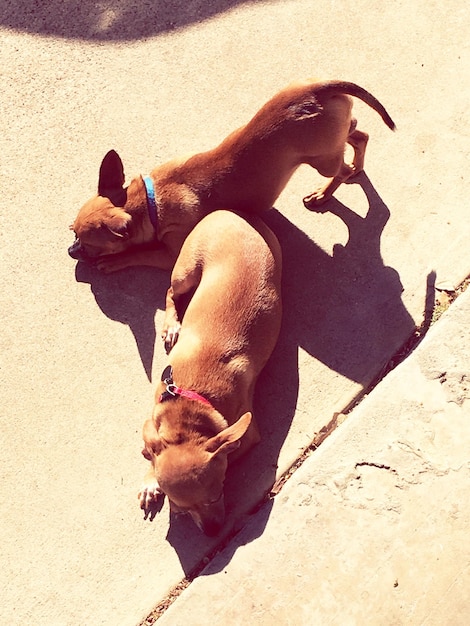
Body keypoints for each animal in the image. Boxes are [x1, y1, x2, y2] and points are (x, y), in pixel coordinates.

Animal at [68, 79, 394, 272]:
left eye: (90, 245)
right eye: (73, 233)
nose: (72, 250)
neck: (152, 199)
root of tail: (317, 88)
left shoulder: (170, 254)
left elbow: (142, 253)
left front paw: (117, 261)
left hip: (322, 160)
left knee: (343, 169)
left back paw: (324, 193)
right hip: (332, 141)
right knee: (358, 135)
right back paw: (355, 163)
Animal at [138, 208, 280, 532]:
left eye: (218, 495)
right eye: (183, 509)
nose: (212, 531)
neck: (188, 402)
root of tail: (231, 212)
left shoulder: (245, 436)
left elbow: (228, 452)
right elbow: (153, 449)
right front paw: (151, 479)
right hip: (186, 273)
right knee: (171, 291)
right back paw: (171, 325)